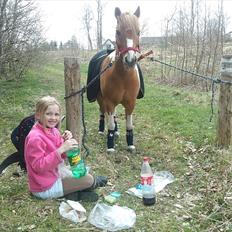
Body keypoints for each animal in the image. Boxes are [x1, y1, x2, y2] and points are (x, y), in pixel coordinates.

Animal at [89, 6, 142, 152]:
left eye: (138, 32)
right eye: (118, 32)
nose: (130, 60)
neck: (123, 76)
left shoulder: (131, 103)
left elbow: (129, 125)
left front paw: (130, 143)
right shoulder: (109, 102)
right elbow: (111, 124)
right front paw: (110, 144)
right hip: (101, 99)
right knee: (104, 113)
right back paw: (102, 130)